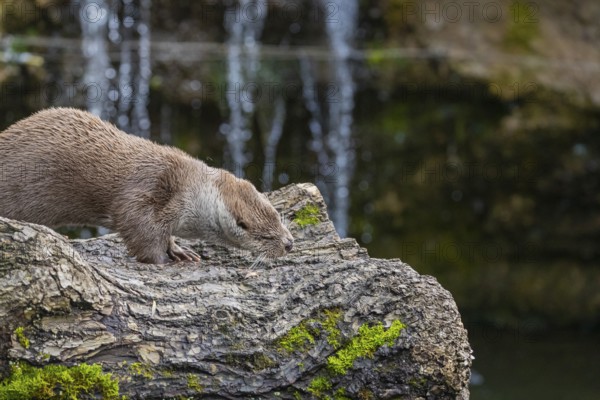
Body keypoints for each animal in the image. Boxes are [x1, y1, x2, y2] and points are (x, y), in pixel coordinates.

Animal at [0, 108, 292, 264]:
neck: (186, 188)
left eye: (278, 216)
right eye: (261, 235)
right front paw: (162, 259)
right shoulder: (148, 189)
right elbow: (137, 226)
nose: (288, 244)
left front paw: (179, 250)